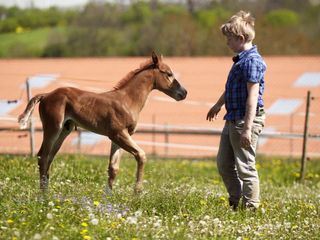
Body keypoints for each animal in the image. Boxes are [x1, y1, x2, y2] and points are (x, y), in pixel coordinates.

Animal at [18, 53, 188, 193]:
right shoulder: (118, 134)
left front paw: (108, 198)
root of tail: (46, 94)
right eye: (169, 74)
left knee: (49, 158)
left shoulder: (118, 138)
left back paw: (47, 192)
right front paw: (137, 192)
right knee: (42, 156)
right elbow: (141, 155)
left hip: (64, 131)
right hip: (53, 128)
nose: (184, 93)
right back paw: (43, 196)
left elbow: (113, 168)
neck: (128, 100)